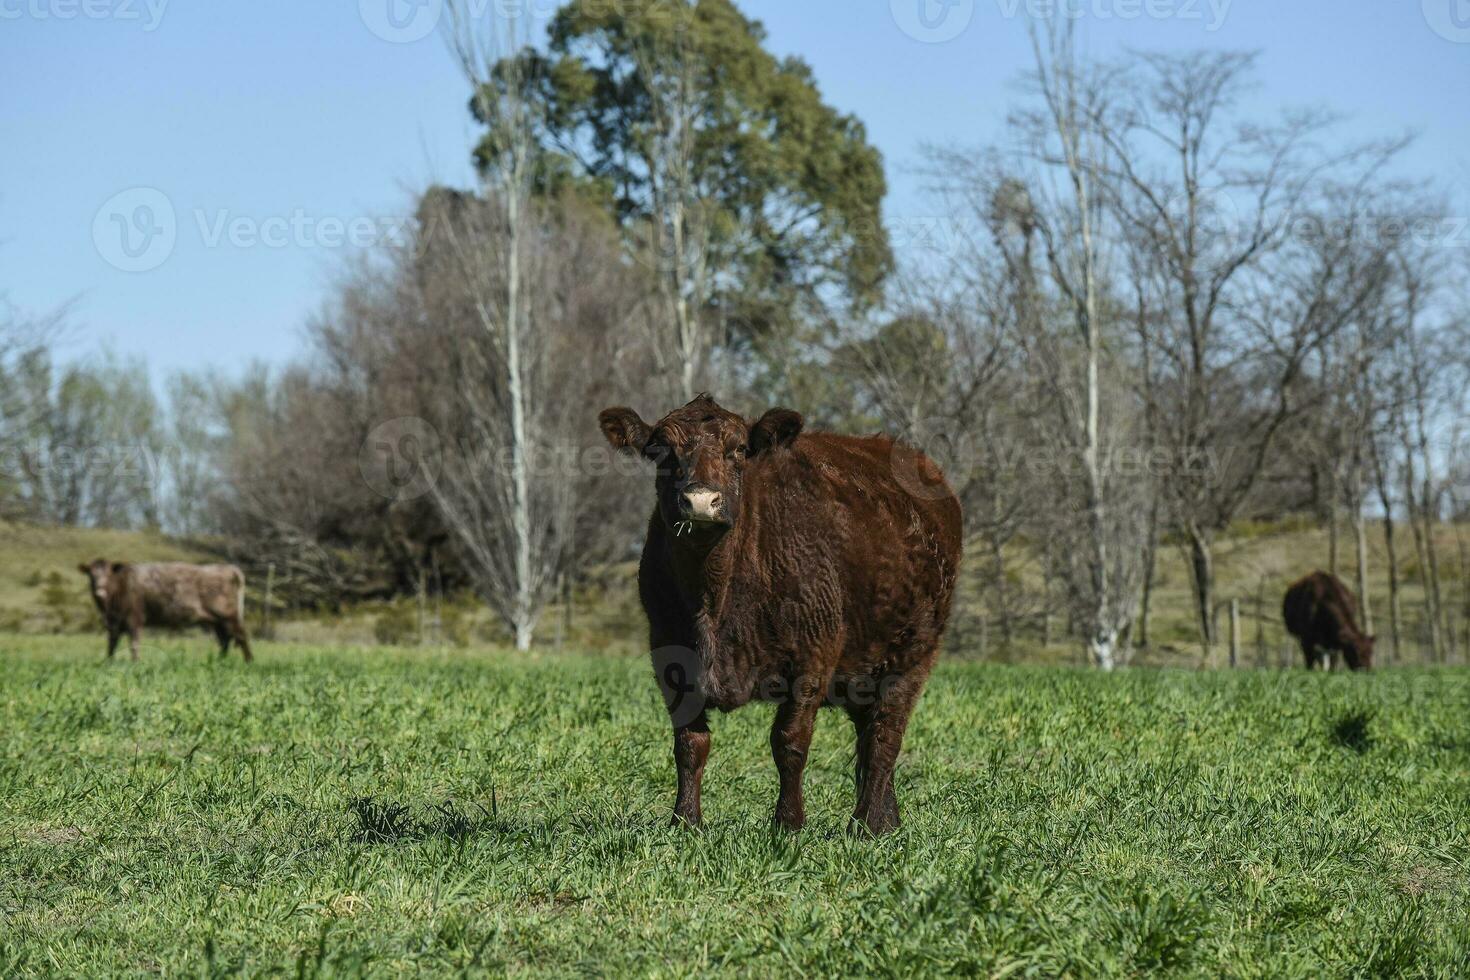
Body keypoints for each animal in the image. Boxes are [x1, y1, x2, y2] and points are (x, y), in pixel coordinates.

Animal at [77, 564, 254, 664]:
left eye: (108, 574)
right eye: (91, 575)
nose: (99, 591)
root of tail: (229, 569)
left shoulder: (133, 618)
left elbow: (134, 643)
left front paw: (135, 663)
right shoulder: (115, 623)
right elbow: (112, 644)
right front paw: (109, 661)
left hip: (228, 615)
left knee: (241, 636)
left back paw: (249, 662)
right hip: (217, 622)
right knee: (225, 641)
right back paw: (220, 661)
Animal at [596, 393, 964, 834]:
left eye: (739, 449)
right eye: (662, 451)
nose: (700, 501)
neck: (713, 598)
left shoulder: (812, 658)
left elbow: (789, 742)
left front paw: (788, 823)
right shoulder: (669, 656)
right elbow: (690, 743)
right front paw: (685, 822)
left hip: (913, 656)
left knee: (884, 736)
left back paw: (866, 825)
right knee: (869, 733)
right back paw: (887, 820)